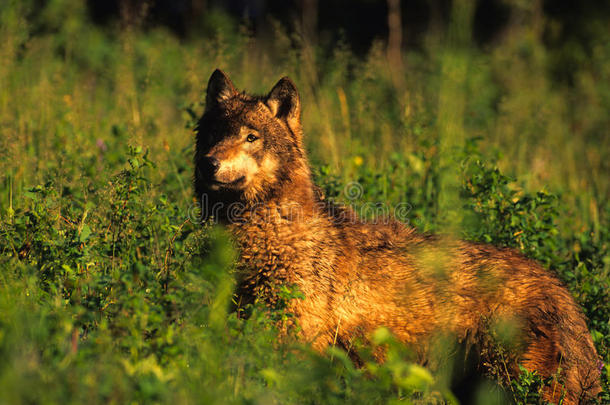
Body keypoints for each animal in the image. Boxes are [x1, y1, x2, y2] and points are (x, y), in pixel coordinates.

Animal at [194, 69, 600, 400]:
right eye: (214, 134)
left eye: (251, 137)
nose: (209, 163)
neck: (272, 233)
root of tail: (565, 295)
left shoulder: (292, 342)